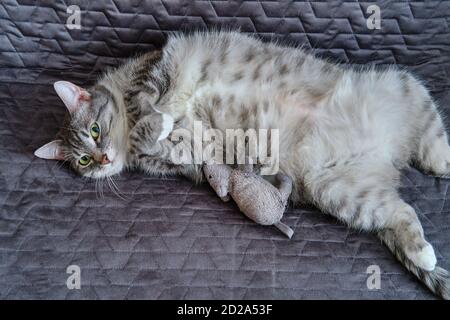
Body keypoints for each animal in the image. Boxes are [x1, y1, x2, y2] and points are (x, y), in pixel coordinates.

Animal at [35, 31, 450, 298]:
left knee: (433, 142)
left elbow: (146, 108)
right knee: (401, 212)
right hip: (339, 190)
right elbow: (184, 148)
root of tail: (389, 156)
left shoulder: (152, 73)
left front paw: (157, 122)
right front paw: (171, 133)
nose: (102, 158)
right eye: (83, 159)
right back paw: (424, 254)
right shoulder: (185, 157)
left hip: (401, 86)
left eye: (94, 129)